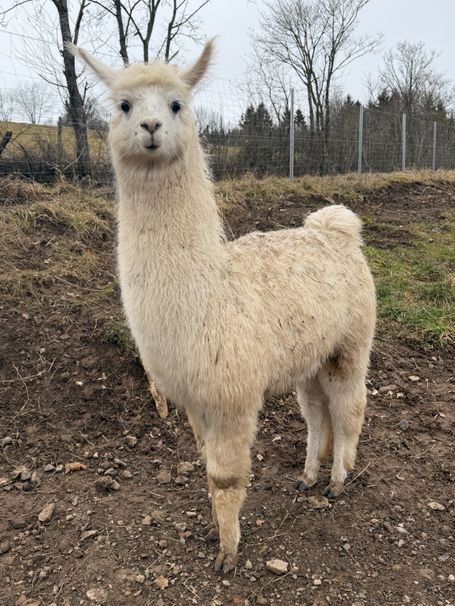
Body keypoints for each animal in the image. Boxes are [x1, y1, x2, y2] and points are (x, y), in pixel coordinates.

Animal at [70, 40, 376, 574]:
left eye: (177, 104)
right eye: (123, 105)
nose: (151, 126)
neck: (209, 296)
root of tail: (335, 228)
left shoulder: (232, 395)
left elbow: (227, 477)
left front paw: (228, 555)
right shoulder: (195, 399)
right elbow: (206, 467)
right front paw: (219, 533)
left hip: (350, 342)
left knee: (349, 406)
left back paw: (338, 480)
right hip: (309, 355)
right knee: (317, 412)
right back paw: (309, 475)